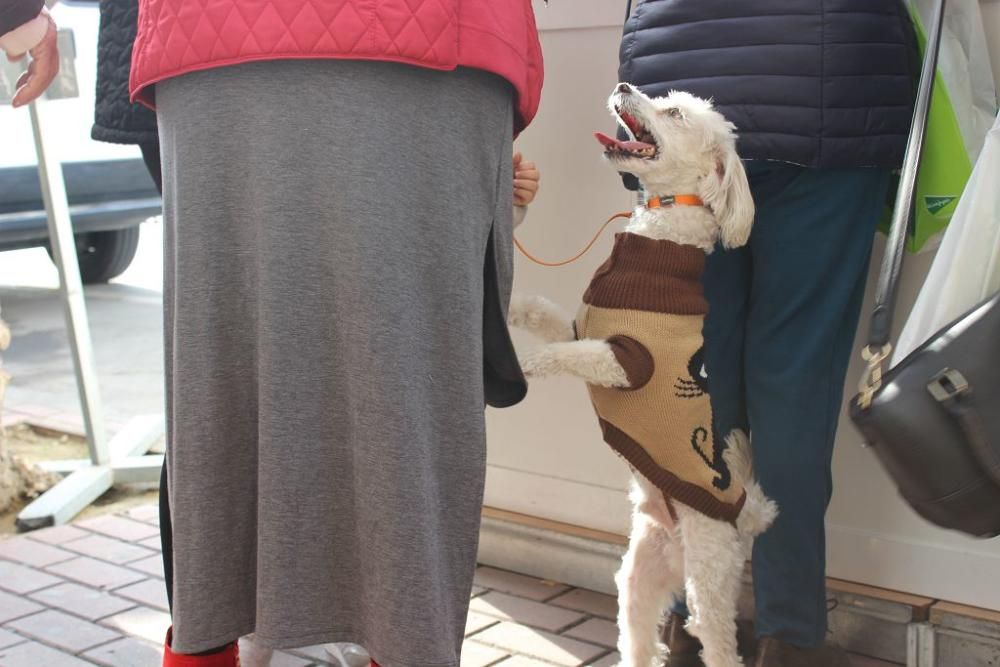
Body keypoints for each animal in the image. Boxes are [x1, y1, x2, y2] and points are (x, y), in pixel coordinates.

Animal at [512, 85, 776, 667]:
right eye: (667, 98)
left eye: (673, 112)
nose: (625, 87)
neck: (660, 237)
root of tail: (743, 514)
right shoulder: (581, 328)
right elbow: (545, 313)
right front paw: (509, 309)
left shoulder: (625, 361)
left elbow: (570, 355)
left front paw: (527, 366)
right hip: (640, 575)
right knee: (637, 630)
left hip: (709, 579)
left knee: (716, 638)